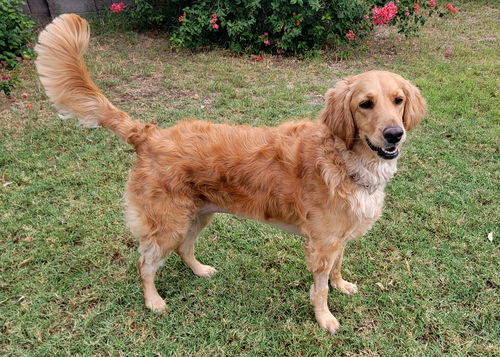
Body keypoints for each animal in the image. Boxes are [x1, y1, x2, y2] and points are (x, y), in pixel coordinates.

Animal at [35, 13, 426, 330]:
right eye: (365, 104)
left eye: (398, 100)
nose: (394, 134)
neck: (344, 158)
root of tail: (149, 134)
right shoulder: (321, 243)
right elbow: (319, 290)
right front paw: (325, 318)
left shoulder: (338, 237)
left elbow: (338, 268)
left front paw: (342, 285)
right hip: (167, 222)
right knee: (145, 263)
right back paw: (153, 301)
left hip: (197, 215)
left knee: (184, 248)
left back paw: (199, 271)